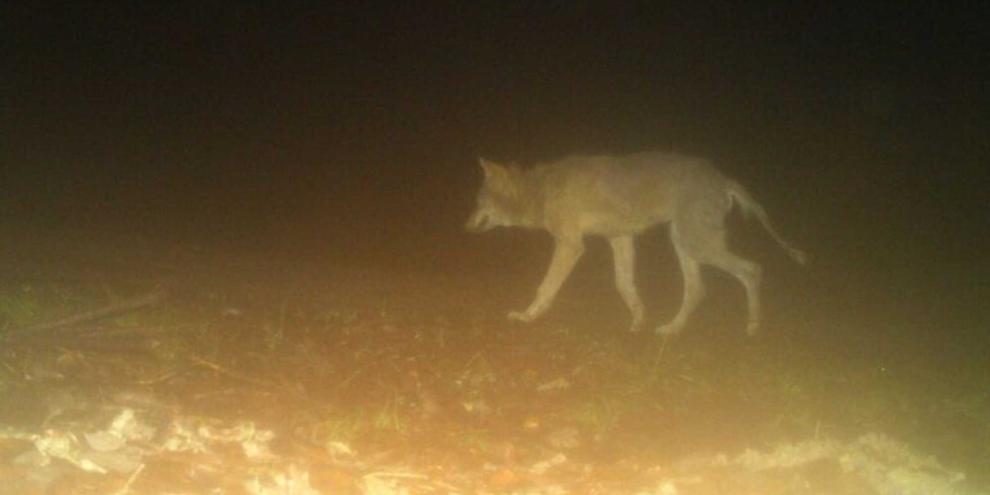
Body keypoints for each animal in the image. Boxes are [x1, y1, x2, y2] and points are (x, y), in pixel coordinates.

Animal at [465, 151, 806, 336]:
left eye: (478, 202)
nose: (464, 226)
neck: (541, 190)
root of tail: (723, 178)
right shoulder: (620, 238)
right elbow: (624, 284)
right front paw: (639, 319)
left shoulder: (571, 244)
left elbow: (545, 287)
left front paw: (527, 316)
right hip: (683, 241)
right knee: (697, 290)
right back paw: (671, 330)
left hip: (694, 242)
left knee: (752, 269)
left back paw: (753, 326)